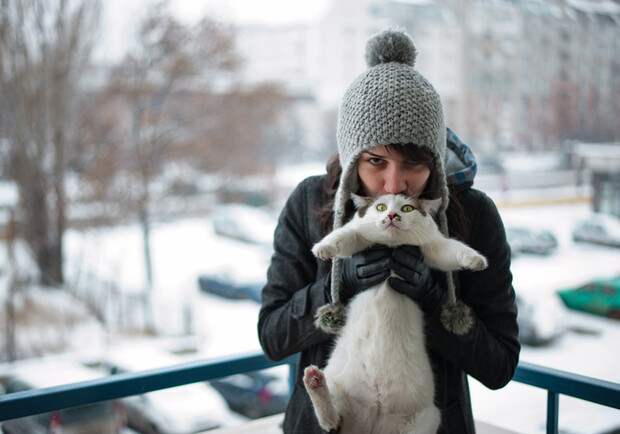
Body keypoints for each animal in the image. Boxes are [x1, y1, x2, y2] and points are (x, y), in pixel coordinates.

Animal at [306, 194, 490, 434]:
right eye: (380, 207)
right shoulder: (357, 235)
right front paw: (324, 247)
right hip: (338, 389)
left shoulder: (433, 246)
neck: (392, 248)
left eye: (407, 208)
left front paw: (474, 259)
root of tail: (370, 425)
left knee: (333, 422)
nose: (392, 215)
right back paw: (314, 382)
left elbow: (452, 249)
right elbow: (342, 236)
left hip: (427, 418)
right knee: (331, 420)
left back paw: (315, 382)